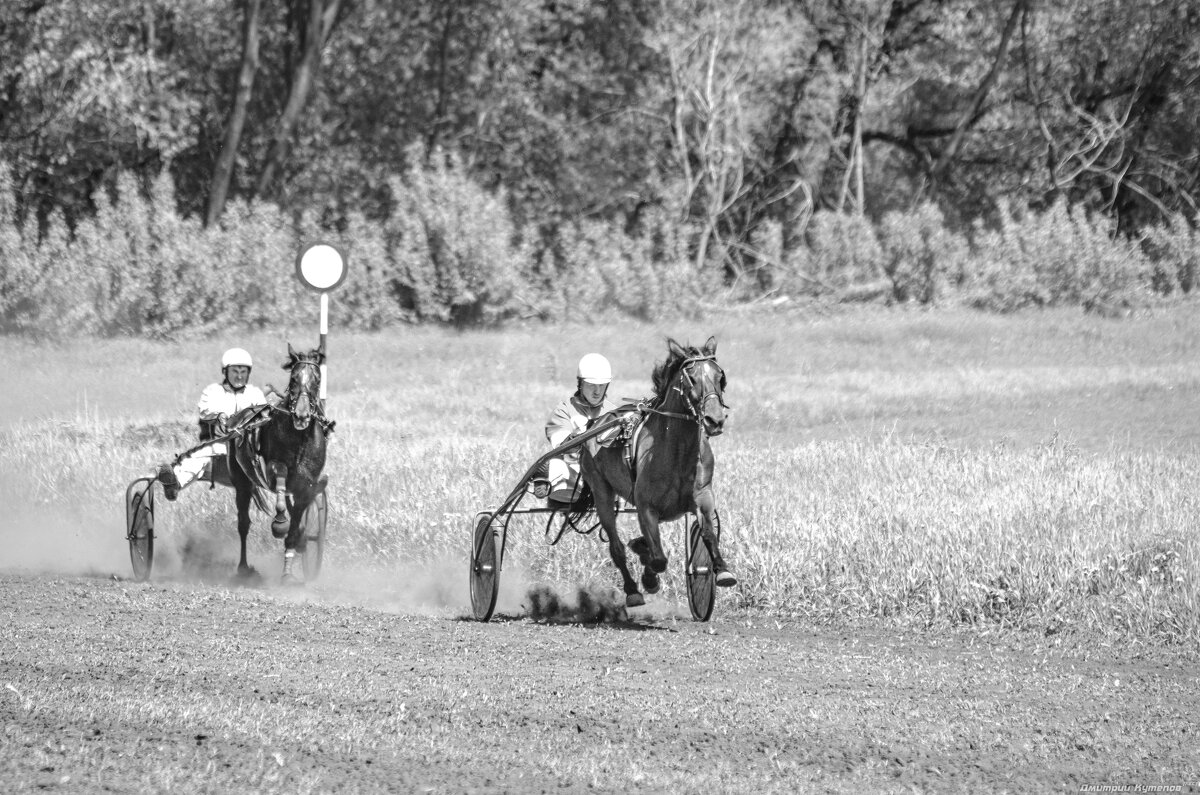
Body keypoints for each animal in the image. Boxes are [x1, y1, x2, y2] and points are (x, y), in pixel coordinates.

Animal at [228, 343, 328, 586]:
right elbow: (281, 487)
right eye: (293, 378)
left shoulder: (306, 485)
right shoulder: (275, 467)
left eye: (317, 379)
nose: (301, 415)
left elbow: (295, 527)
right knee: (243, 524)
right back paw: (244, 568)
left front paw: (288, 572)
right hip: (242, 482)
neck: (300, 438)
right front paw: (280, 523)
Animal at [578, 336, 734, 610]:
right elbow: (659, 559)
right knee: (617, 547)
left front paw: (722, 569)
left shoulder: (702, 497)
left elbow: (707, 534)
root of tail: (596, 423)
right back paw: (632, 589)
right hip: (601, 492)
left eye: (719, 375)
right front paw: (649, 578)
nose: (715, 420)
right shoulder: (646, 506)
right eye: (691, 377)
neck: (678, 450)